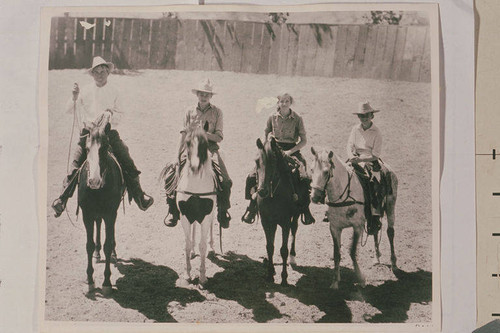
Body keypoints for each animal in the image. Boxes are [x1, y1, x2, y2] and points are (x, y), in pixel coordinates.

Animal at [78, 118, 126, 294]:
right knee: (98, 225)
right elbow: (89, 245)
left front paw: (106, 282)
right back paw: (98, 253)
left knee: (110, 237)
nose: (94, 181)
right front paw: (90, 281)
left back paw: (113, 253)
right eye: (86, 148)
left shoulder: (110, 214)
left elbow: (108, 244)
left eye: (104, 147)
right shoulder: (87, 214)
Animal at [177, 126, 216, 282]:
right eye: (187, 143)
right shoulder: (185, 216)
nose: (194, 167)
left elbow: (203, 246)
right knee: (194, 227)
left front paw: (203, 276)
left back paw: (212, 248)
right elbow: (187, 245)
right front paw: (188, 274)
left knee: (212, 224)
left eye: (204, 143)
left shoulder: (206, 217)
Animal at [256, 136, 298, 284]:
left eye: (273, 161)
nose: (262, 191)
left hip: (295, 216)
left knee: (294, 229)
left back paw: (293, 257)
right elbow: (270, 247)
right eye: (257, 161)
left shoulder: (285, 222)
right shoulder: (266, 221)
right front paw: (269, 274)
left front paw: (284, 278)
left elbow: (283, 250)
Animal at [308, 146, 398, 288]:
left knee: (390, 232)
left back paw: (394, 263)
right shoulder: (334, 228)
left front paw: (361, 279)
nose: (315, 197)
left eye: (326, 172)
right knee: (376, 231)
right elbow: (337, 254)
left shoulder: (357, 226)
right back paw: (377, 257)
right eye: (311, 169)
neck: (343, 196)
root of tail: (388, 168)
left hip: (390, 205)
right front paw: (335, 281)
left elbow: (352, 252)